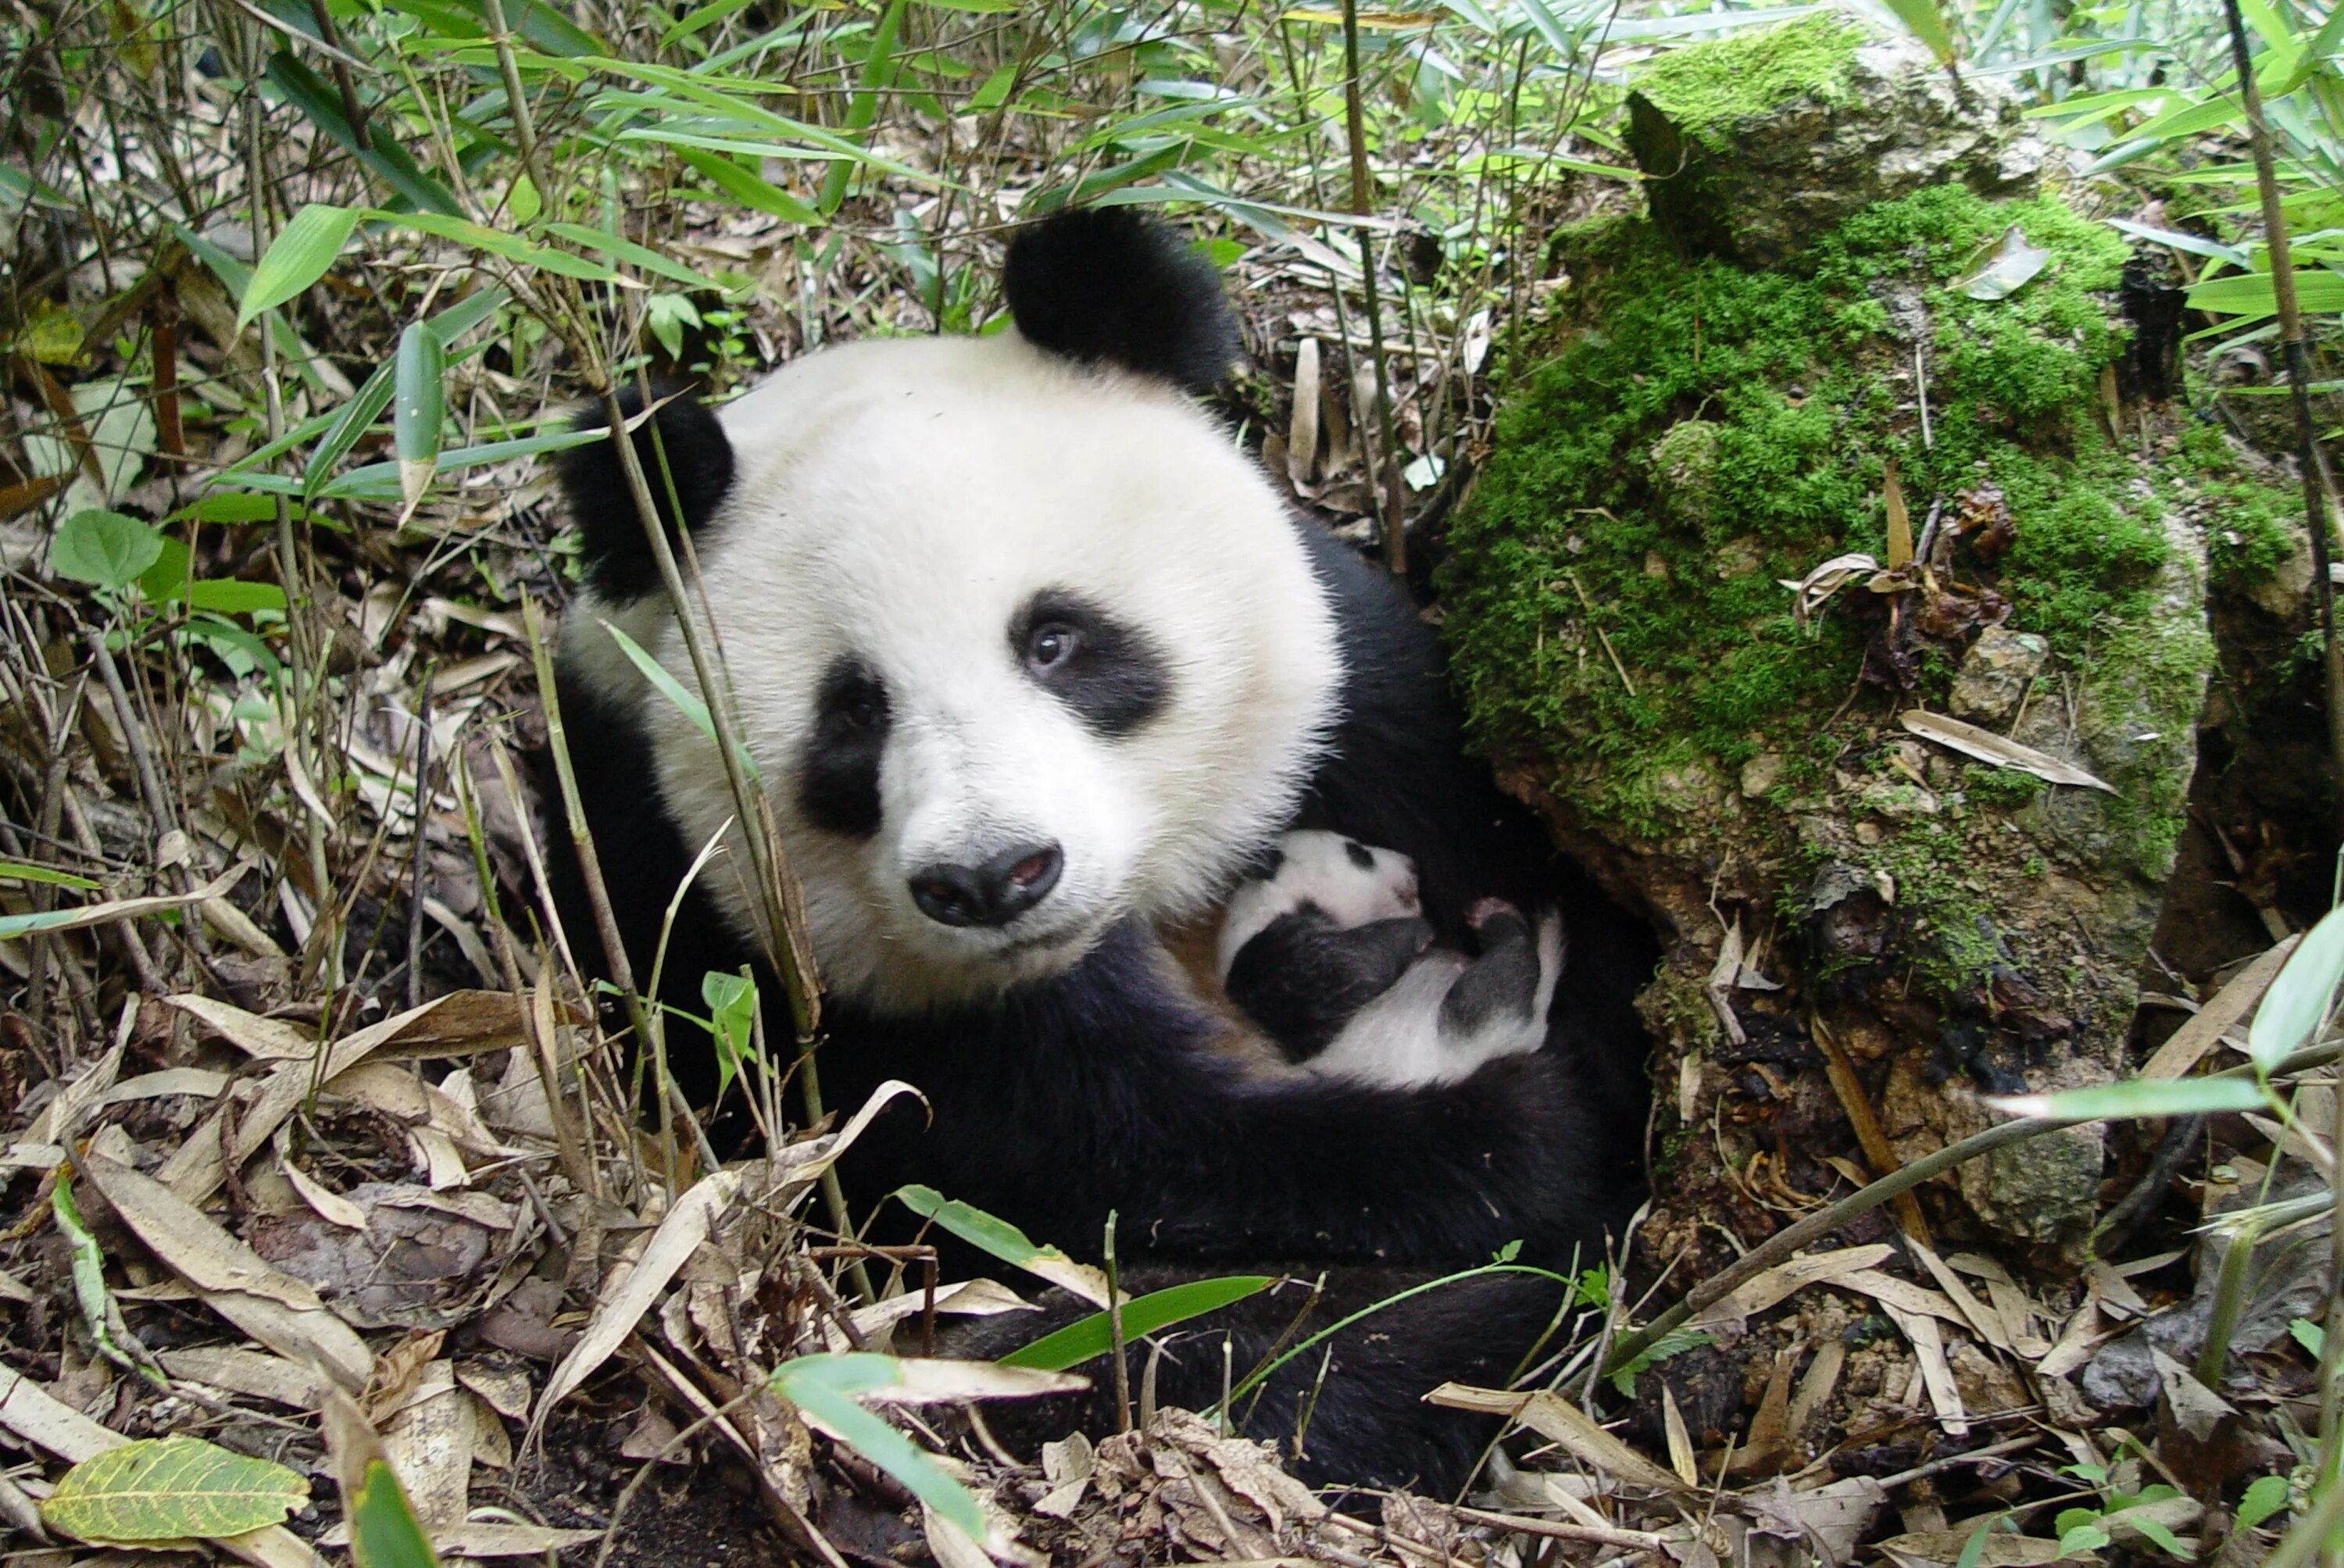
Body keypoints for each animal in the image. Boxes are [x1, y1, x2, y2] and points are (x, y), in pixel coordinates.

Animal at [544, 207, 1650, 1491]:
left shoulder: (1363, 713)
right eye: (853, 713)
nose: (992, 877)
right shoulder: (722, 916)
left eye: (1056, 640)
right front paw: (1506, 1139)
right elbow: (1115, 1156)